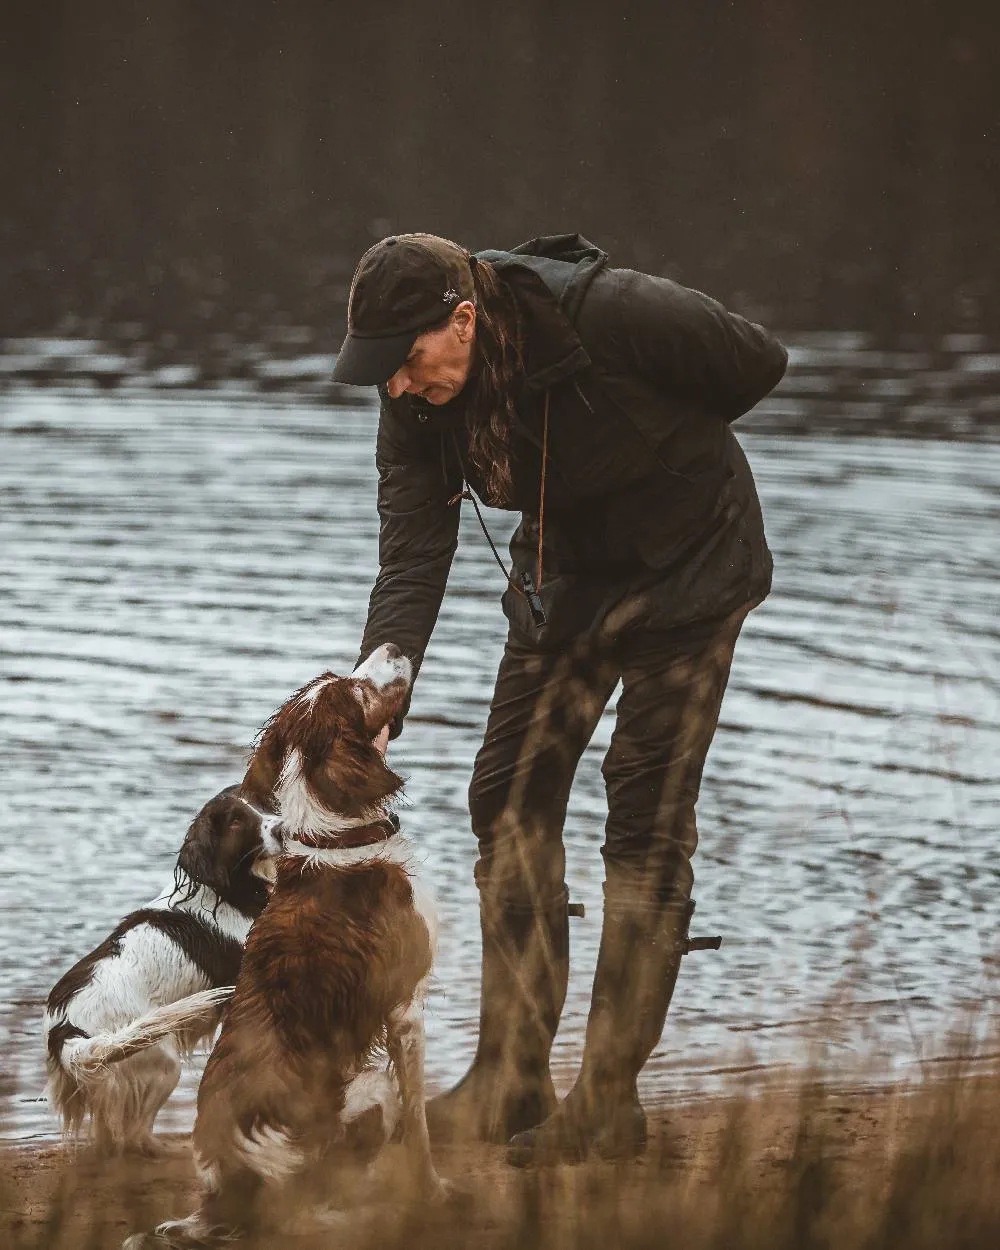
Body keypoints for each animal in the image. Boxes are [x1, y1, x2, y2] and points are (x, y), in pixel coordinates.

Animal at [44, 785, 270, 1155]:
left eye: (259, 806)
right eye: (237, 821)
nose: (281, 828)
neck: (223, 891)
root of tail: (67, 1029)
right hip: (160, 1059)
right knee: (135, 1136)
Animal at [125, 650, 450, 1245]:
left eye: (338, 676)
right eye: (357, 690)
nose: (397, 648)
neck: (338, 838)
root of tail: (226, 1195)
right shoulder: (405, 1006)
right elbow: (419, 1122)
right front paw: (433, 1190)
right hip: (368, 1094)